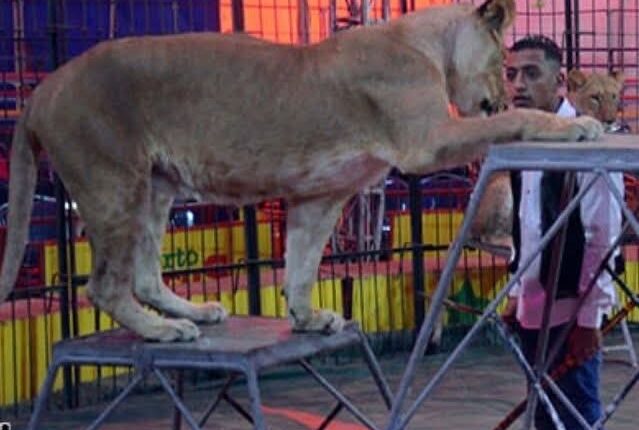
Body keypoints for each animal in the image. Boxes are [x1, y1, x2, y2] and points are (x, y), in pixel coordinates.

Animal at [0, 0, 603, 342]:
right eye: (505, 62)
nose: (502, 94)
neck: (422, 42)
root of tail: (43, 88)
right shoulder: (425, 141)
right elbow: (522, 120)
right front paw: (577, 125)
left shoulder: (322, 196)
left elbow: (302, 266)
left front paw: (309, 319)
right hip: (113, 183)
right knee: (103, 287)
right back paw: (163, 331)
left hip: (155, 187)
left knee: (145, 274)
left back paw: (194, 312)